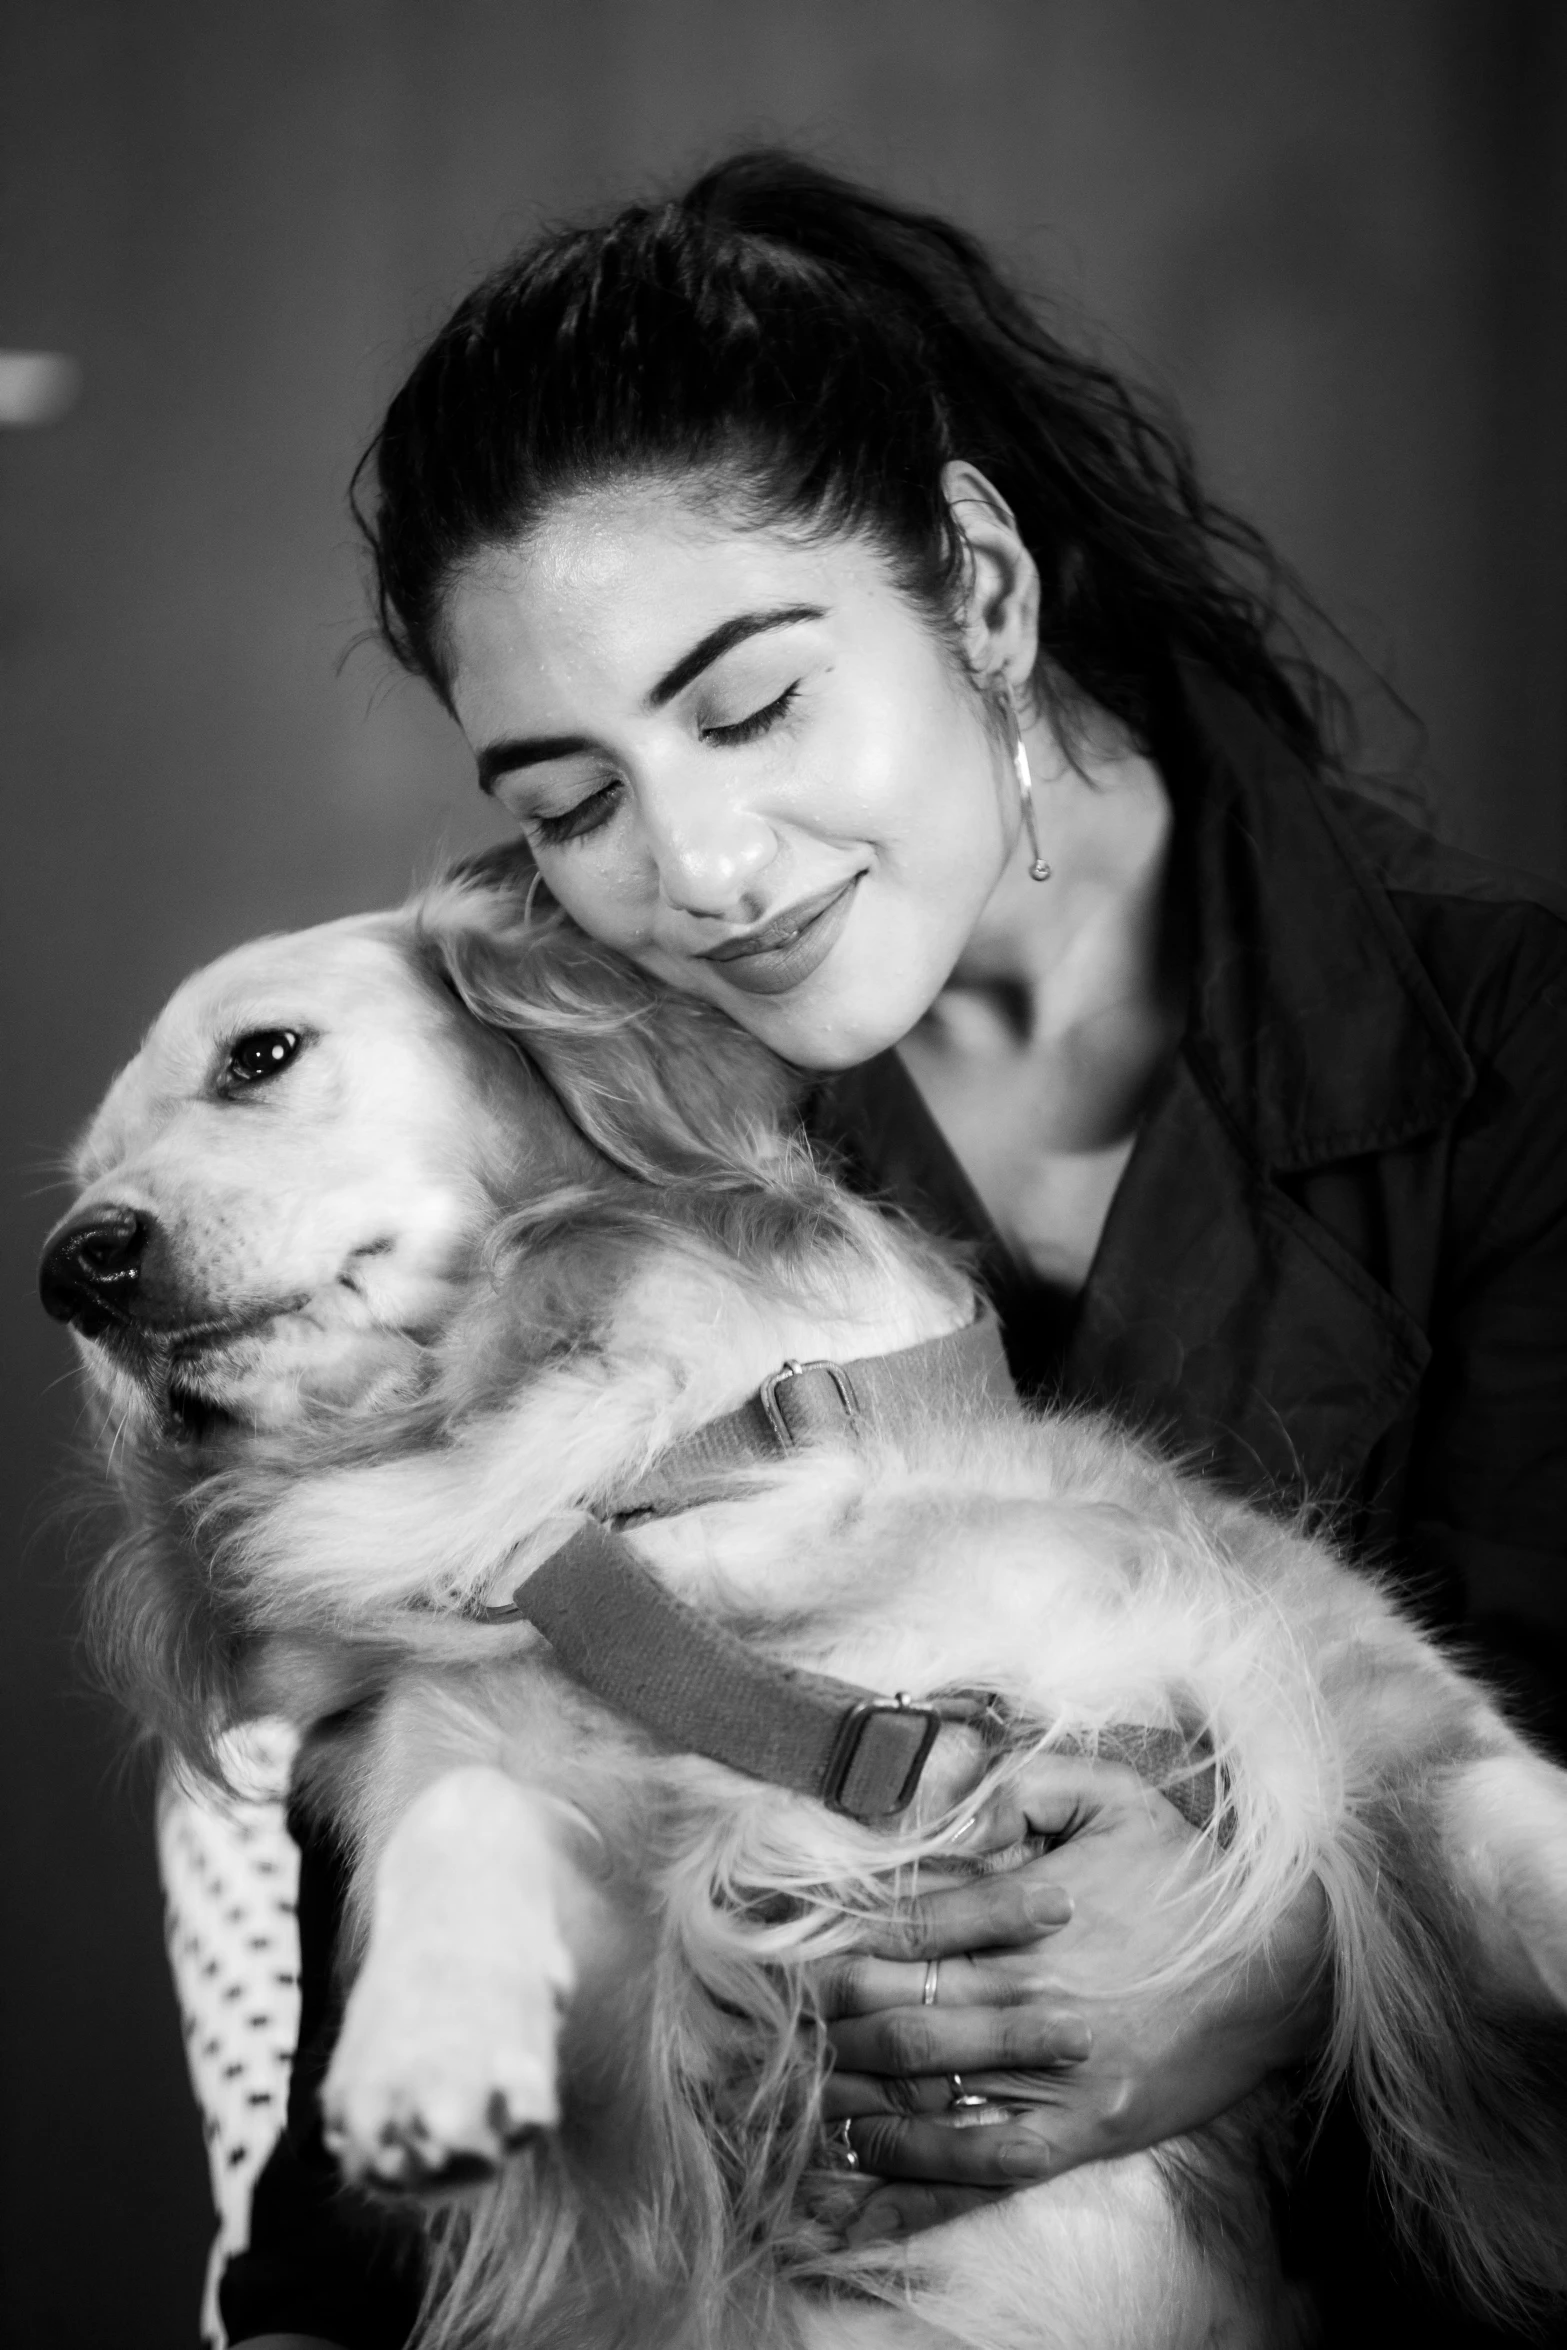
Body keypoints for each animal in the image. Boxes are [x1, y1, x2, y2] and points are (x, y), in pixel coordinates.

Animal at [42, 855, 1567, 2350]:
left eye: (260, 1054)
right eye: (87, 1181)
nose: (73, 1269)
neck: (667, 1466)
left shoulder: (1322, 1676)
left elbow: (1509, 1825)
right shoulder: (632, 2000)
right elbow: (466, 1806)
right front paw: (424, 2046)